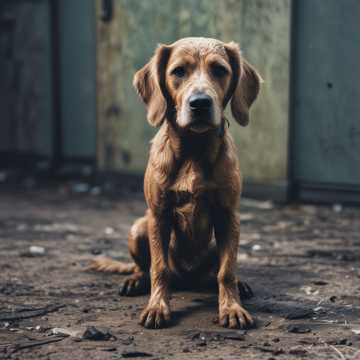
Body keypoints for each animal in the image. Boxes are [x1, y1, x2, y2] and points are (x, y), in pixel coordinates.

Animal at [91, 37, 262, 330]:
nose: (200, 103)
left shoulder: (228, 215)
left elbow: (227, 271)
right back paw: (136, 279)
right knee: (146, 268)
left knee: (218, 272)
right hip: (139, 227)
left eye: (220, 70)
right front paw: (157, 306)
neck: (193, 149)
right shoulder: (159, 215)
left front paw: (231, 307)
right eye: (178, 71)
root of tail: (188, 278)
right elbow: (158, 268)